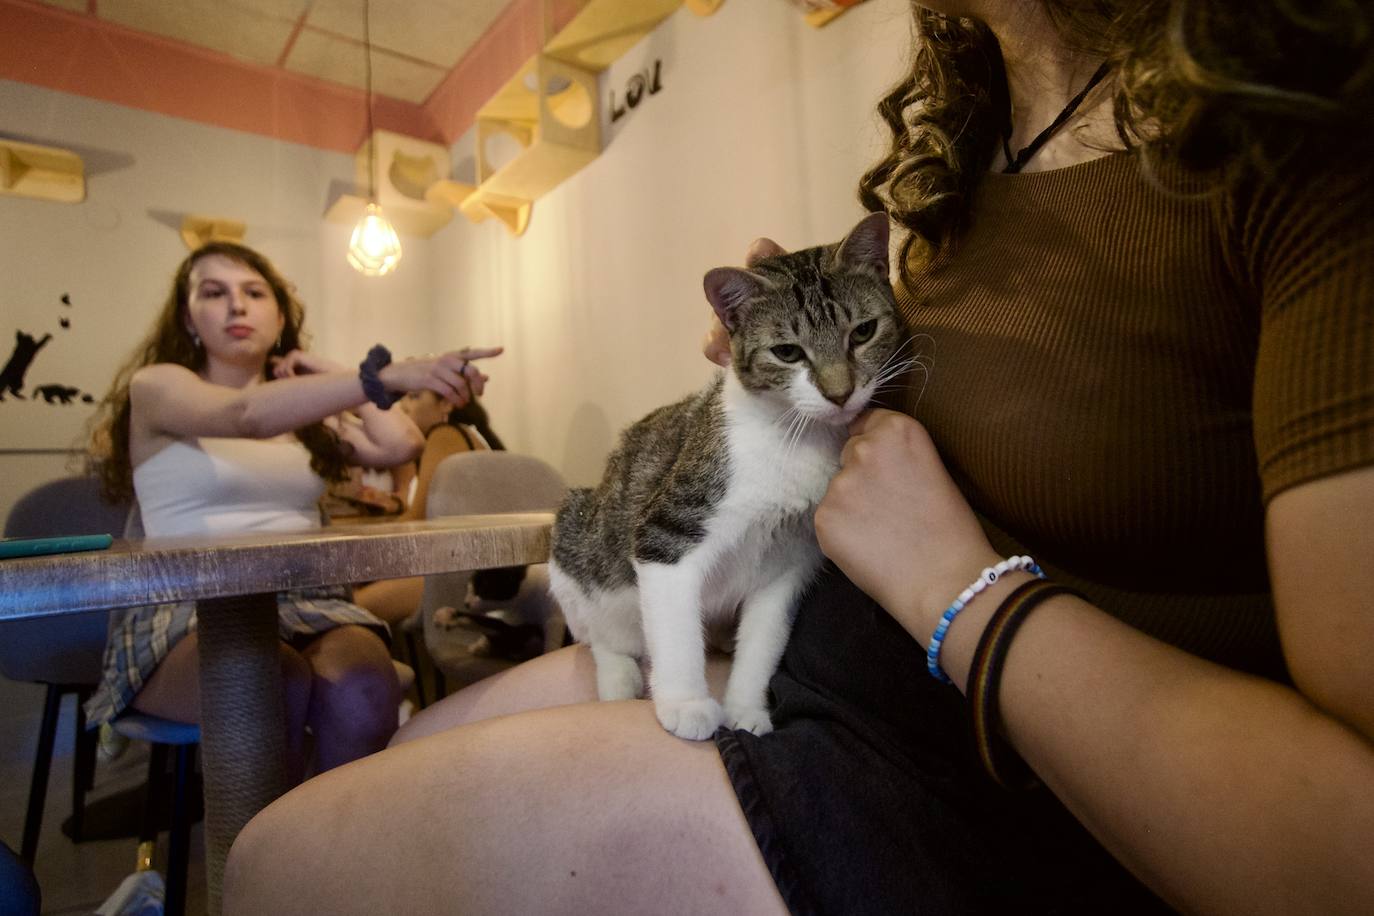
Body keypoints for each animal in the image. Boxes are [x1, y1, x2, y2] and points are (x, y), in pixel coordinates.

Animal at [552, 212, 906, 736]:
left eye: (863, 331)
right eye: (787, 352)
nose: (840, 393)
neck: (794, 439)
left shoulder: (791, 560)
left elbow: (764, 638)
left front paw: (746, 709)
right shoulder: (668, 533)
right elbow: (675, 624)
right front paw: (685, 704)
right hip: (577, 544)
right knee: (601, 631)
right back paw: (618, 676)